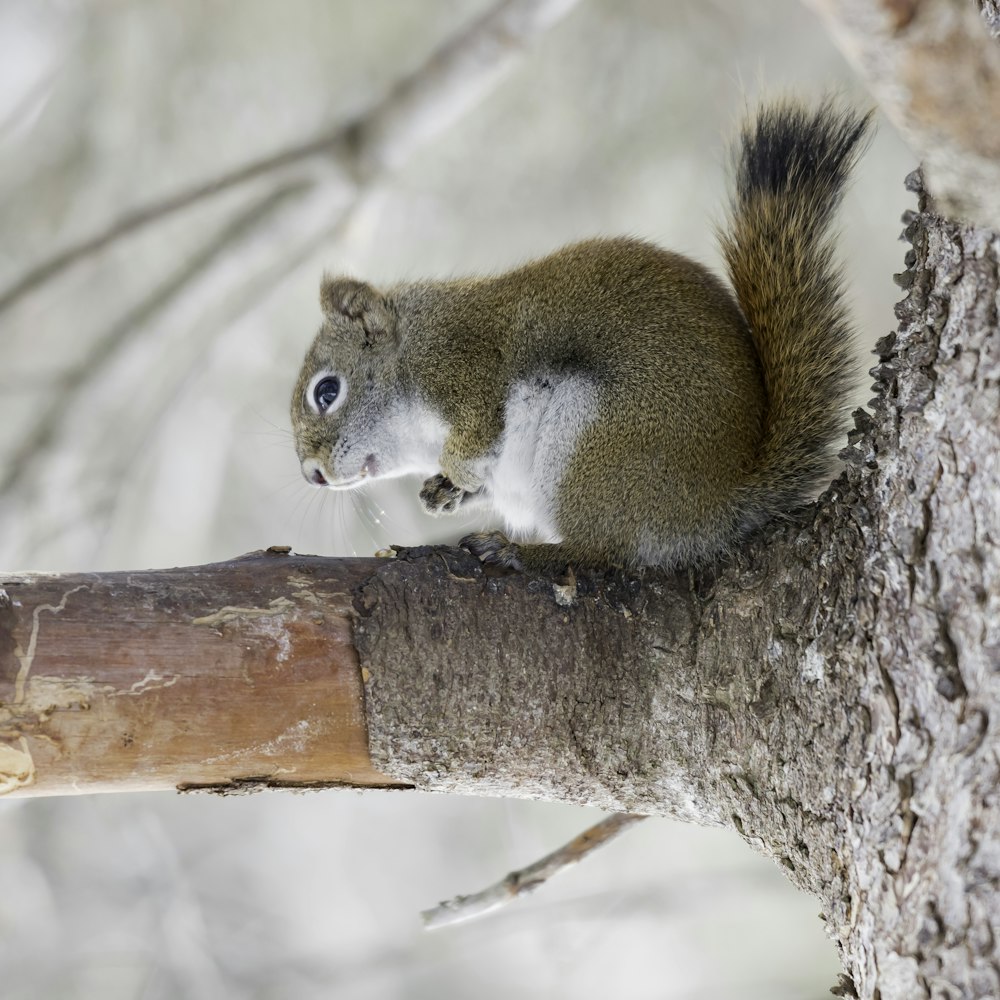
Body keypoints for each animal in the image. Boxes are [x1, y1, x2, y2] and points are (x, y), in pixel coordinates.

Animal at [292, 104, 876, 576]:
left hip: (594, 442)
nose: (311, 475)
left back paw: (522, 552)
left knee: (605, 551)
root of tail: (720, 501)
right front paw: (445, 490)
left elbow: (476, 433)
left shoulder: (466, 367)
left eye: (327, 391)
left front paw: (454, 472)